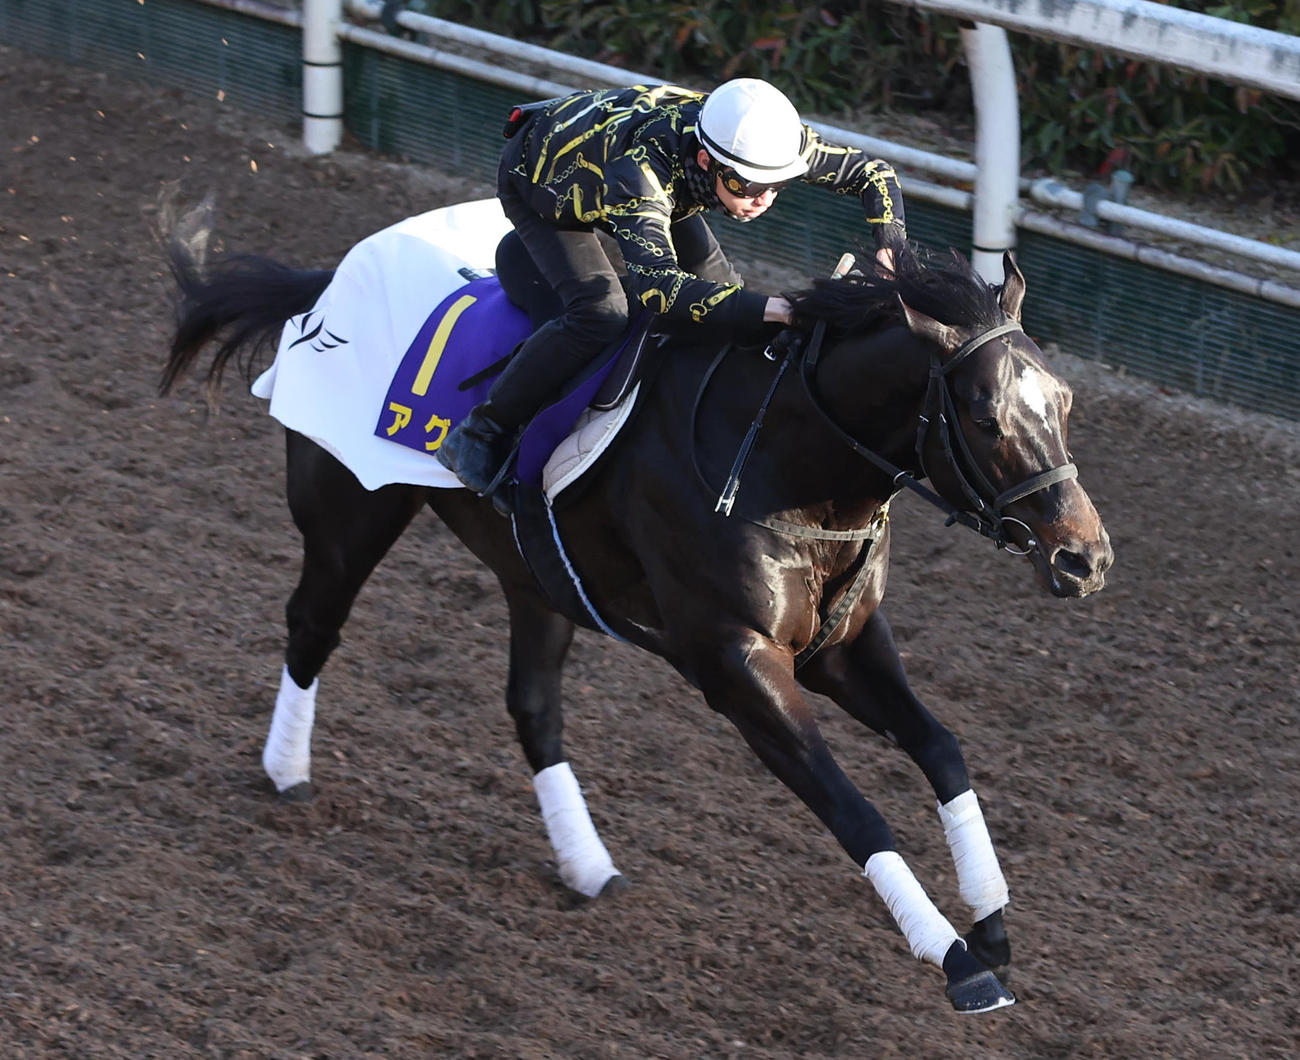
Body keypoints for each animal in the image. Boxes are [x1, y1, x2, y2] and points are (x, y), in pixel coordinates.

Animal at [159, 198, 1112, 1014]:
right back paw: (285, 771)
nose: (1085, 557)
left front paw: (991, 927)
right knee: (313, 625)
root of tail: (330, 281)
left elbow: (942, 748)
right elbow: (856, 809)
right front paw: (956, 959)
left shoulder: (841, 645)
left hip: (534, 574)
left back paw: (586, 866)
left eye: (1063, 401)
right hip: (349, 510)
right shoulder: (733, 661)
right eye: (985, 416)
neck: (782, 457)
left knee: (532, 705)